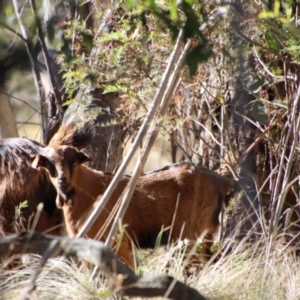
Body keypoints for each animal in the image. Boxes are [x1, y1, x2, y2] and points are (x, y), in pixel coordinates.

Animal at [32, 144, 234, 268]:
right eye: (49, 164)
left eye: (73, 161)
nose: (62, 179)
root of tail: (220, 181)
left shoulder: (115, 242)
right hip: (205, 233)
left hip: (190, 233)